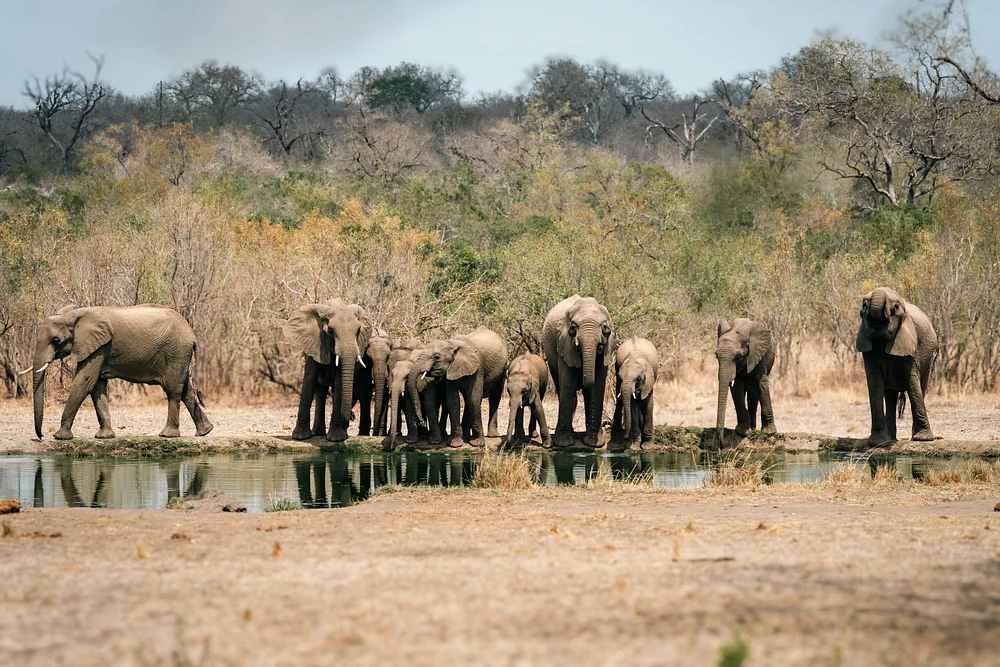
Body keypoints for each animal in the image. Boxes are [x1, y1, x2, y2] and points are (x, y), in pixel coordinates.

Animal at [27, 304, 213, 440]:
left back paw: (168, 435)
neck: (73, 314)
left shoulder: (99, 348)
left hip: (176, 353)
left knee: (173, 390)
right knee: (186, 391)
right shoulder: (98, 348)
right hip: (181, 355)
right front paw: (104, 437)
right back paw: (205, 431)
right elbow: (97, 386)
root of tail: (192, 334)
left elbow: (84, 381)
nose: (41, 437)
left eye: (56, 340)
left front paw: (60, 437)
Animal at [284, 298, 372, 442]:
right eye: (330, 331)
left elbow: (339, 382)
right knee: (320, 391)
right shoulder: (315, 343)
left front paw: (336, 439)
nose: (351, 418)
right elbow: (309, 380)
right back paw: (317, 433)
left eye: (358, 330)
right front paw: (300, 437)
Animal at [541, 295, 615, 449]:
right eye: (573, 328)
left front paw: (594, 444)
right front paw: (563, 444)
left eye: (605, 328)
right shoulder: (564, 344)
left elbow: (597, 387)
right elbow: (568, 385)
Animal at [715, 318, 776, 448]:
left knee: (754, 394)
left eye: (738, 357)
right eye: (716, 355)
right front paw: (742, 433)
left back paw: (754, 429)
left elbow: (761, 382)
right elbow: (737, 387)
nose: (723, 444)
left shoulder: (758, 354)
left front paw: (769, 433)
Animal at [856, 287, 938, 446]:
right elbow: (874, 384)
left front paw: (923, 440)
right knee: (890, 396)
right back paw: (890, 439)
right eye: (863, 305)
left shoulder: (910, 344)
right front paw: (878, 443)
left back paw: (912, 438)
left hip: (929, 358)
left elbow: (912, 382)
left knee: (921, 386)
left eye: (896, 307)